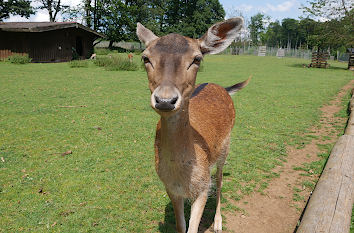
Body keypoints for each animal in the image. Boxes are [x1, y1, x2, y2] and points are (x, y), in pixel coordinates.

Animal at [136, 16, 249, 233]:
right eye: (145, 58)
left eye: (197, 59)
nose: (165, 100)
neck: (182, 175)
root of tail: (222, 87)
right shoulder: (170, 188)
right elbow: (181, 226)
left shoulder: (203, 188)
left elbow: (193, 227)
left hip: (225, 148)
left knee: (220, 178)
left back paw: (218, 222)